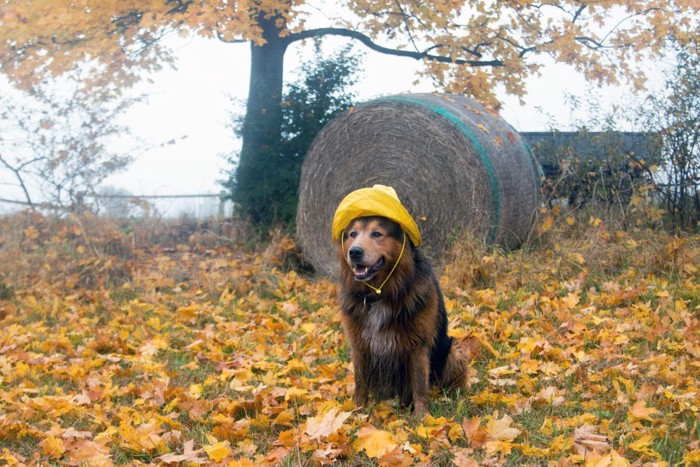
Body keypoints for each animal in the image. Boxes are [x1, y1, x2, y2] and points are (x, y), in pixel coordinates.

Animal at [336, 210, 468, 414]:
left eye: (377, 234)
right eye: (352, 234)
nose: (354, 252)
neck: (380, 295)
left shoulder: (418, 345)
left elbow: (419, 384)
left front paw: (422, 416)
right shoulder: (358, 344)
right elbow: (360, 380)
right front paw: (357, 409)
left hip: (455, 351)